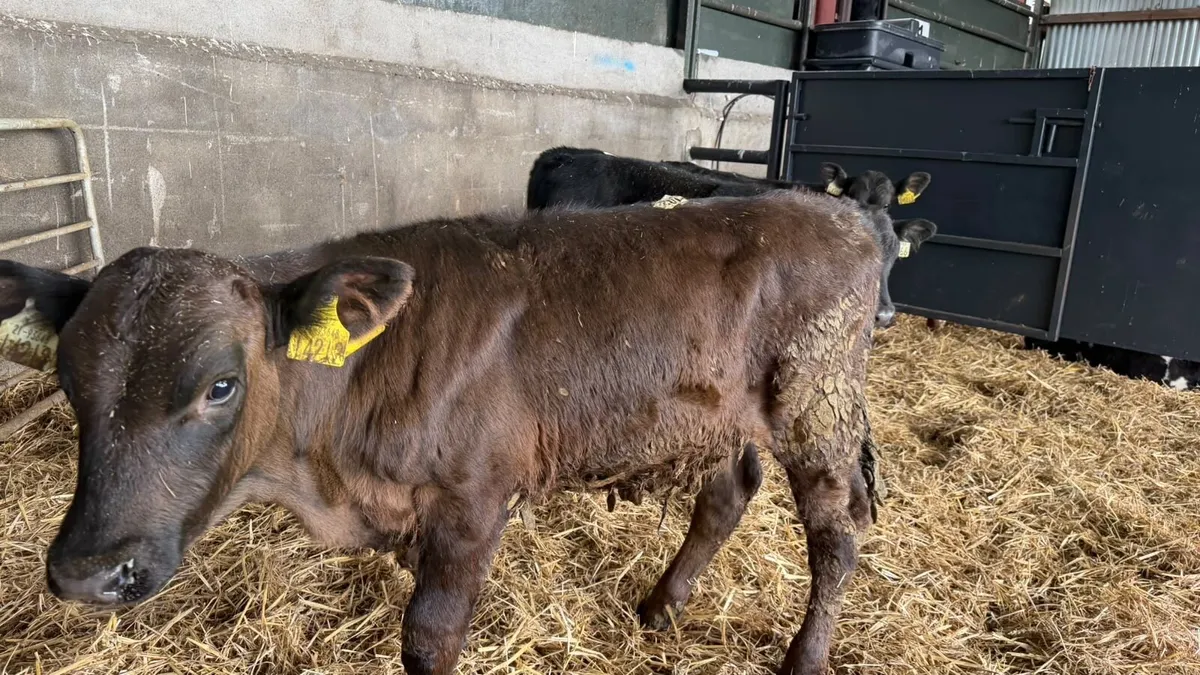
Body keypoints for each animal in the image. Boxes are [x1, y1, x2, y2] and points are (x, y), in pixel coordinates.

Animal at [3, 189, 883, 675]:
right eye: (70, 383)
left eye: (220, 385)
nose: (87, 572)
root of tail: (840, 210)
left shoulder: (473, 499)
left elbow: (430, 637)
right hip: (716, 416)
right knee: (727, 496)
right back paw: (662, 605)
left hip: (818, 405)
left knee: (835, 537)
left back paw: (804, 657)